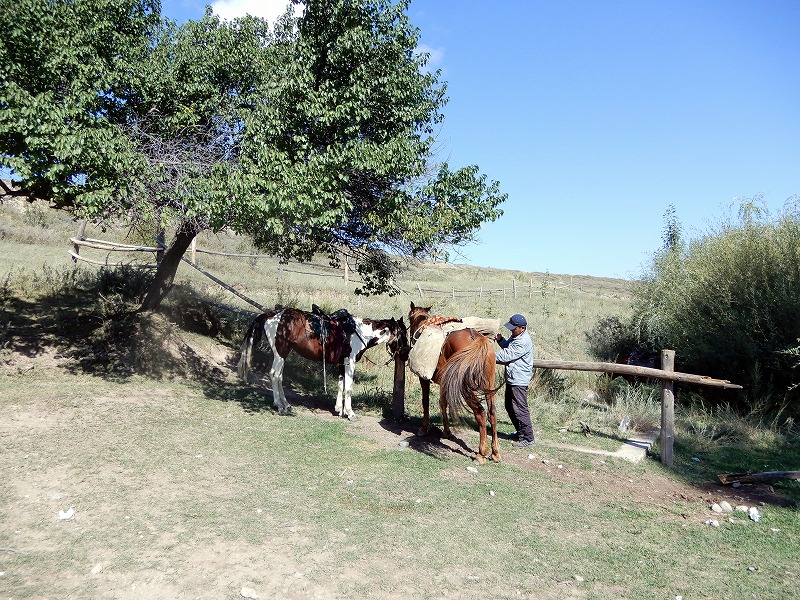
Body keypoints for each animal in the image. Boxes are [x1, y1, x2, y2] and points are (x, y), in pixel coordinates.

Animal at [238, 306, 408, 420]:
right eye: (402, 335)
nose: (406, 354)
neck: (359, 332)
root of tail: (272, 315)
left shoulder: (342, 363)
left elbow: (341, 385)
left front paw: (339, 409)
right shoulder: (350, 362)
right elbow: (349, 387)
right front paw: (350, 413)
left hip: (283, 354)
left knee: (279, 376)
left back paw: (286, 405)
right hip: (280, 353)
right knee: (274, 375)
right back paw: (279, 406)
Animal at [408, 302, 501, 463]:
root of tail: (478, 340)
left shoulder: (424, 379)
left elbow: (426, 401)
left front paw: (424, 429)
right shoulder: (446, 383)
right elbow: (443, 403)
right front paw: (446, 431)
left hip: (467, 388)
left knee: (480, 412)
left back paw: (481, 453)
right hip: (489, 385)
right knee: (492, 413)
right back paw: (495, 453)